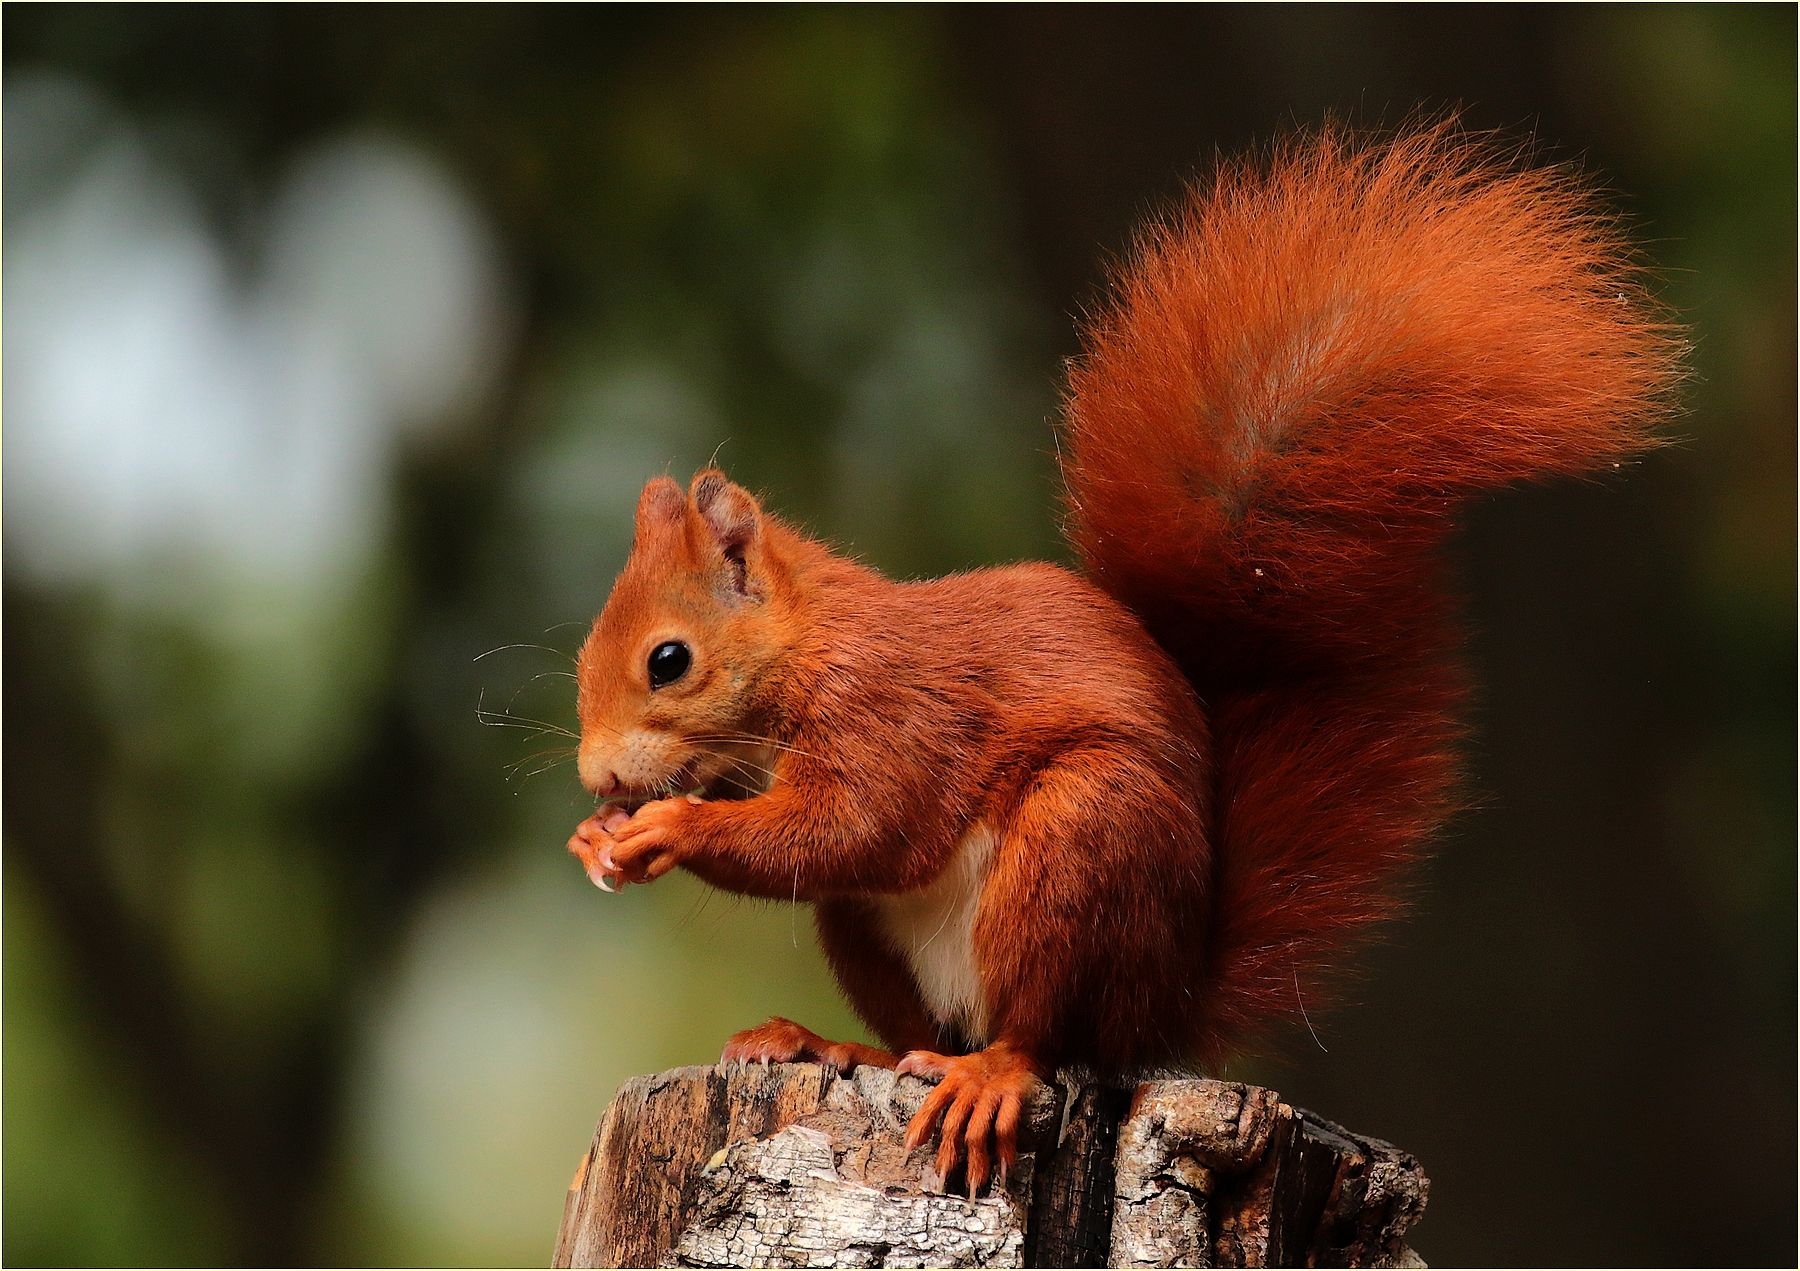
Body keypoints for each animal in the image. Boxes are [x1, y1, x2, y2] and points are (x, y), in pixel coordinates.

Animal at [565, 123, 1683, 1196]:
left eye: (669, 659)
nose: (598, 775)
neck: (810, 648)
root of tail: (1166, 1003)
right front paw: (596, 837)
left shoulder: (892, 711)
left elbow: (854, 826)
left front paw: (669, 826)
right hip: (881, 931)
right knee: (922, 1031)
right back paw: (832, 1044)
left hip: (1084, 844)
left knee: (1043, 1034)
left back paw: (989, 1073)